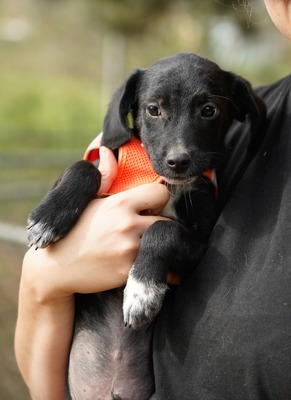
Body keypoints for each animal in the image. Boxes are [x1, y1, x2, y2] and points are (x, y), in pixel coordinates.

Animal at [27, 54, 266, 400]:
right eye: (153, 109)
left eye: (209, 111)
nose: (178, 162)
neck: (162, 181)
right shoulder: (102, 163)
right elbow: (85, 167)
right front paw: (48, 217)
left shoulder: (199, 243)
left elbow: (161, 231)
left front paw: (142, 292)